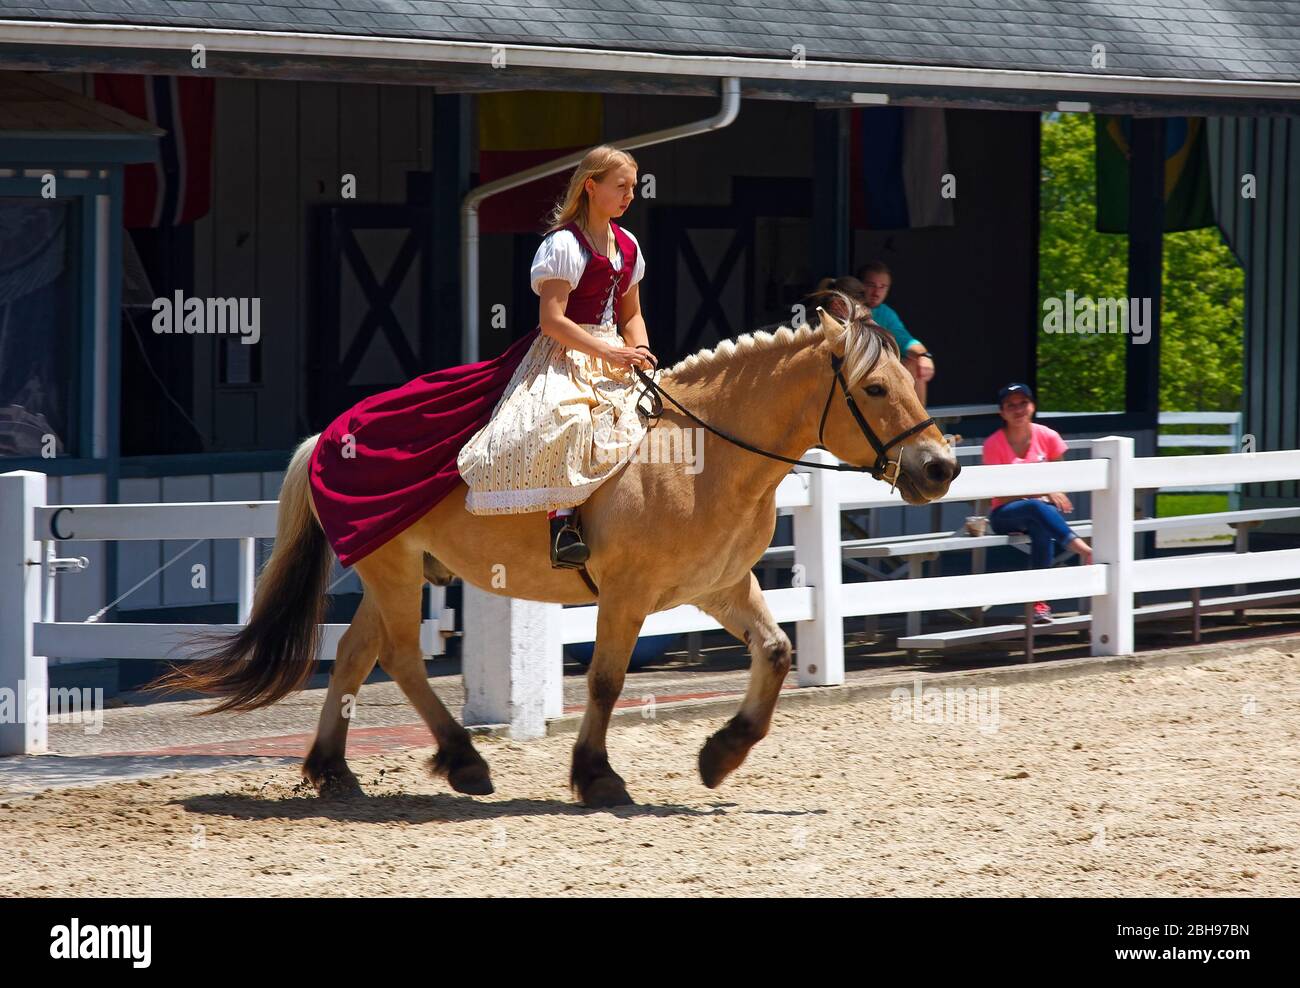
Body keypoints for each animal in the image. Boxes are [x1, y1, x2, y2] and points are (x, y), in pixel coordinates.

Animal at [155, 302, 960, 807]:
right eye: (875, 387)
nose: (940, 468)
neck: (698, 455)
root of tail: (328, 434)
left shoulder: (721, 586)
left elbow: (778, 651)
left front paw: (720, 754)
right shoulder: (628, 595)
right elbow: (604, 682)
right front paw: (597, 777)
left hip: (395, 571)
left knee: (356, 654)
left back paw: (334, 771)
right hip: (393, 569)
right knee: (401, 659)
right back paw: (463, 761)